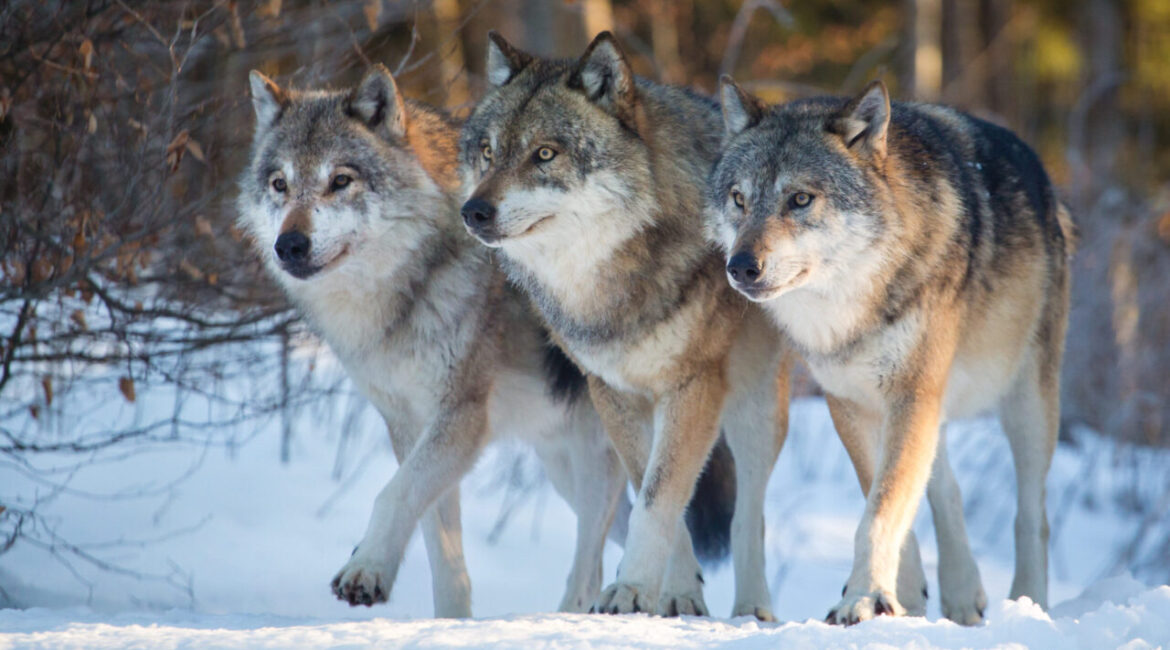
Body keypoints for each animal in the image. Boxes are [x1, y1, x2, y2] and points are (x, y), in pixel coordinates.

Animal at [237, 64, 638, 616]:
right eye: (280, 184)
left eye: (340, 181)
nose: (289, 245)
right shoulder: (410, 425)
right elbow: (441, 550)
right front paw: (450, 621)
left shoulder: (461, 417)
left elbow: (392, 495)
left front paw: (365, 569)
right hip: (567, 469)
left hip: (599, 457)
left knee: (594, 563)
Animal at [458, 32, 793, 620]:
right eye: (488, 153)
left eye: (545, 153)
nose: (473, 211)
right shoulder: (611, 391)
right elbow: (655, 491)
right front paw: (672, 594)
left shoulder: (694, 386)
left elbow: (661, 496)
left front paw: (632, 588)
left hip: (753, 407)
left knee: (750, 514)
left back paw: (753, 609)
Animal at [710, 77, 1075, 625]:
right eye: (739, 198)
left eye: (800, 199)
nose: (740, 267)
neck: (852, 305)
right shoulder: (852, 402)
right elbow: (881, 498)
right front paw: (897, 593)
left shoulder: (909, 393)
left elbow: (881, 509)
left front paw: (863, 598)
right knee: (946, 487)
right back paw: (962, 592)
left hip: (1025, 403)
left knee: (1033, 514)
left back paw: (1027, 603)